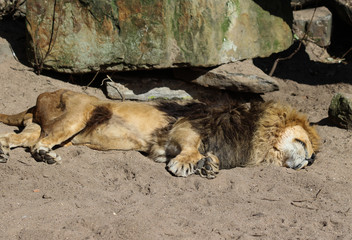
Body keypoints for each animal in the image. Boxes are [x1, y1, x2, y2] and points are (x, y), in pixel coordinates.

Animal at [0, 89, 320, 177]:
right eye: (304, 143)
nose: (312, 161)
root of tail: (41, 96)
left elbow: (205, 155)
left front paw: (208, 166)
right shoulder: (186, 125)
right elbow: (190, 146)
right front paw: (188, 164)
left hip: (42, 128)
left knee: (14, 138)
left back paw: (3, 154)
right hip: (76, 115)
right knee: (38, 146)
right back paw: (46, 158)